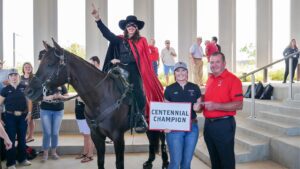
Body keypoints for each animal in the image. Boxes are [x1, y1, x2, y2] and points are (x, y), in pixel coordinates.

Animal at [26, 39, 132, 168]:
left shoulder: (118, 138)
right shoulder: (97, 136)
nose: (28, 91)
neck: (102, 96)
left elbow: (119, 163)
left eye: (50, 64)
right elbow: (100, 161)